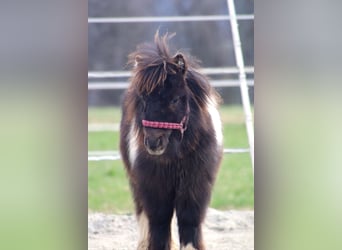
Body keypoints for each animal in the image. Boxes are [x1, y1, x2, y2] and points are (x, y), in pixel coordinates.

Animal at [119, 32, 222, 250]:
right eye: (144, 99)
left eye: (176, 99)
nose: (153, 143)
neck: (177, 155)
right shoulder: (154, 186)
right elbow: (159, 223)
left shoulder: (195, 186)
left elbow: (189, 222)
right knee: (142, 212)